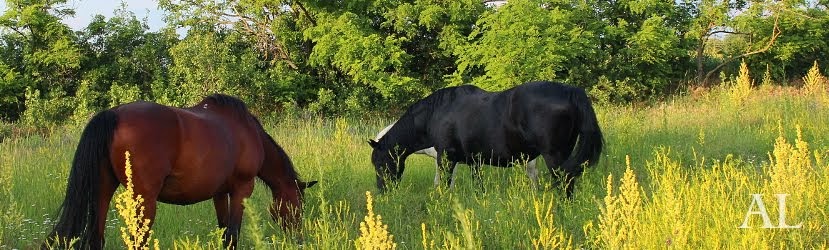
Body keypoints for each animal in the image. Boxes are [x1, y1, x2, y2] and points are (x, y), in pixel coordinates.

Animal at [44, 94, 316, 249]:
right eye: (298, 205)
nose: (298, 239)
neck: (247, 131)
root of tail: (113, 114)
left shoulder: (219, 193)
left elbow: (223, 233)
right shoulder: (242, 189)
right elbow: (232, 235)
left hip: (102, 190)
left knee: (96, 238)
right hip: (144, 200)